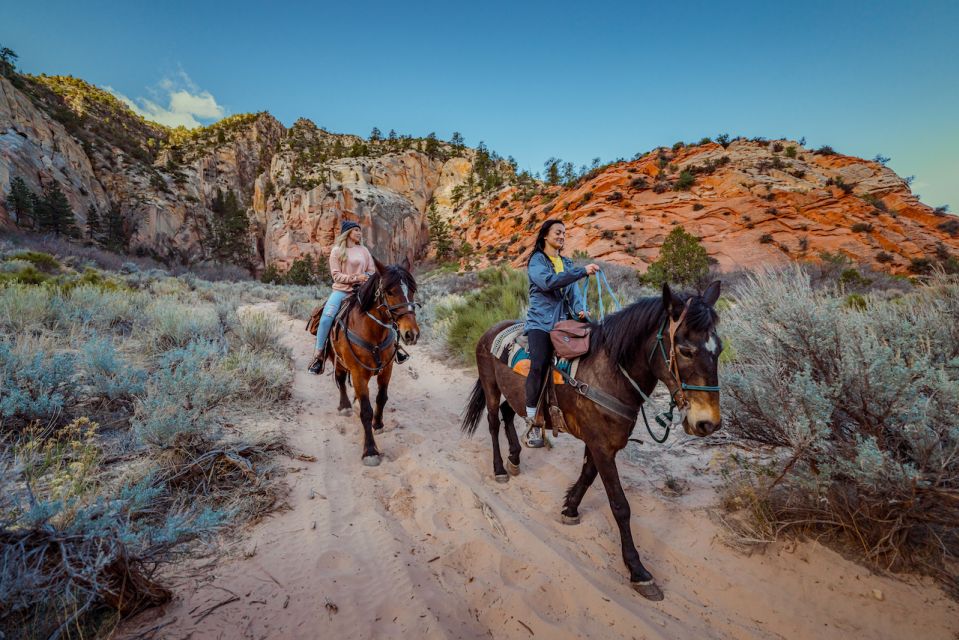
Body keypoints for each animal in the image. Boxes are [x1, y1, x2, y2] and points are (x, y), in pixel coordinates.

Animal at [328, 258, 418, 468]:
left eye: (412, 290)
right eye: (390, 291)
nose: (411, 334)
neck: (373, 333)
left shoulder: (387, 369)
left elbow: (381, 398)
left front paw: (378, 424)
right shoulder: (358, 374)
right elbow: (366, 411)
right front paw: (370, 451)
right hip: (338, 361)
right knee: (340, 380)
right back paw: (345, 406)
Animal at [462, 282, 724, 600]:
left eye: (720, 349)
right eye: (685, 350)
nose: (708, 423)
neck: (610, 374)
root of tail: (492, 330)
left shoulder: (599, 443)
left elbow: (587, 476)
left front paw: (570, 508)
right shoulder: (602, 447)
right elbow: (620, 506)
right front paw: (638, 571)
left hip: (515, 393)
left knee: (508, 415)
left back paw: (514, 458)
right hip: (490, 385)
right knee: (492, 422)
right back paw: (500, 468)